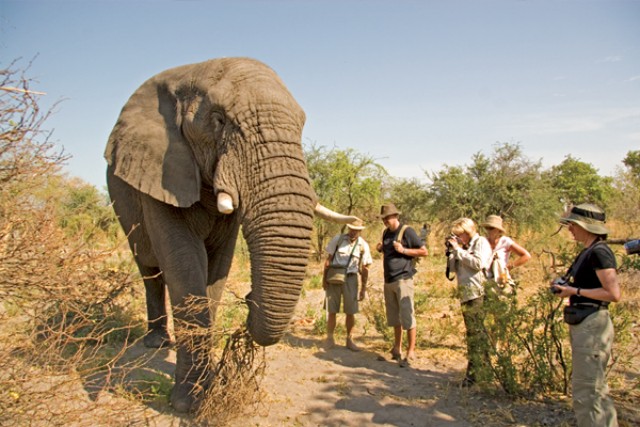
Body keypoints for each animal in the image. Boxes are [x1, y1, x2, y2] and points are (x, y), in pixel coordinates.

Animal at [104, 57, 357, 413]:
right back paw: (157, 344)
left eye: (302, 126)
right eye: (218, 120)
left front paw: (208, 388)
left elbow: (217, 270)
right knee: (150, 269)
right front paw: (190, 405)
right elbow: (186, 267)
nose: (250, 298)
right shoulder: (161, 171)